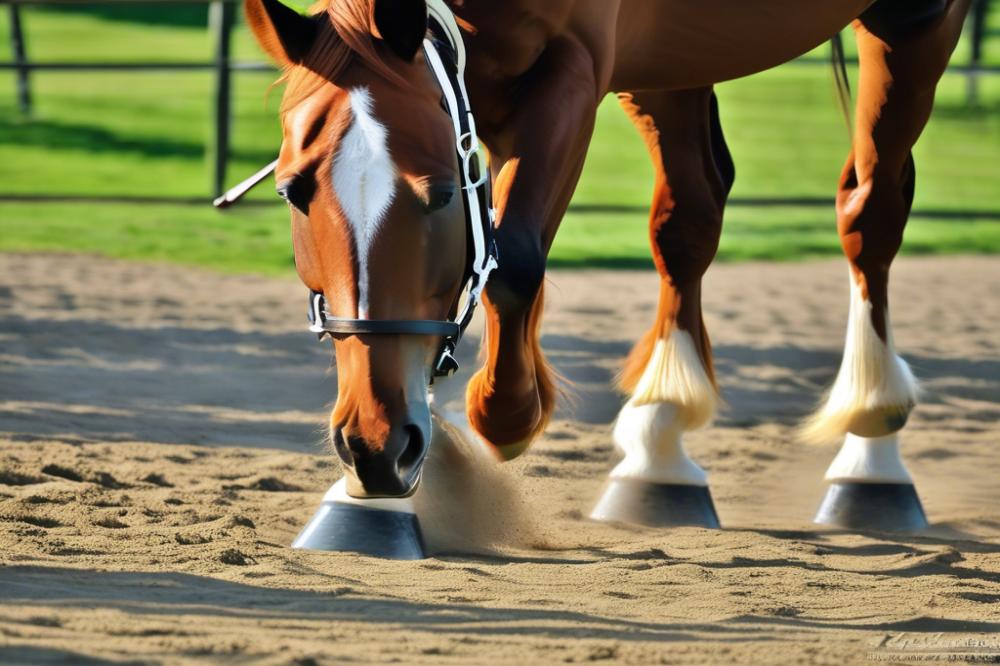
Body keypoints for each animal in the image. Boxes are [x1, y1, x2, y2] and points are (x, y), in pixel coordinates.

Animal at [246, 0, 972, 520]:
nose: (374, 444)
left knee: (870, 212)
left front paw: (504, 416)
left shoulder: (576, 66)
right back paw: (661, 435)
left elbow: (512, 259)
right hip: (675, 61)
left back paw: (871, 445)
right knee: (692, 217)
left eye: (445, 193)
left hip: (913, 20)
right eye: (291, 191)